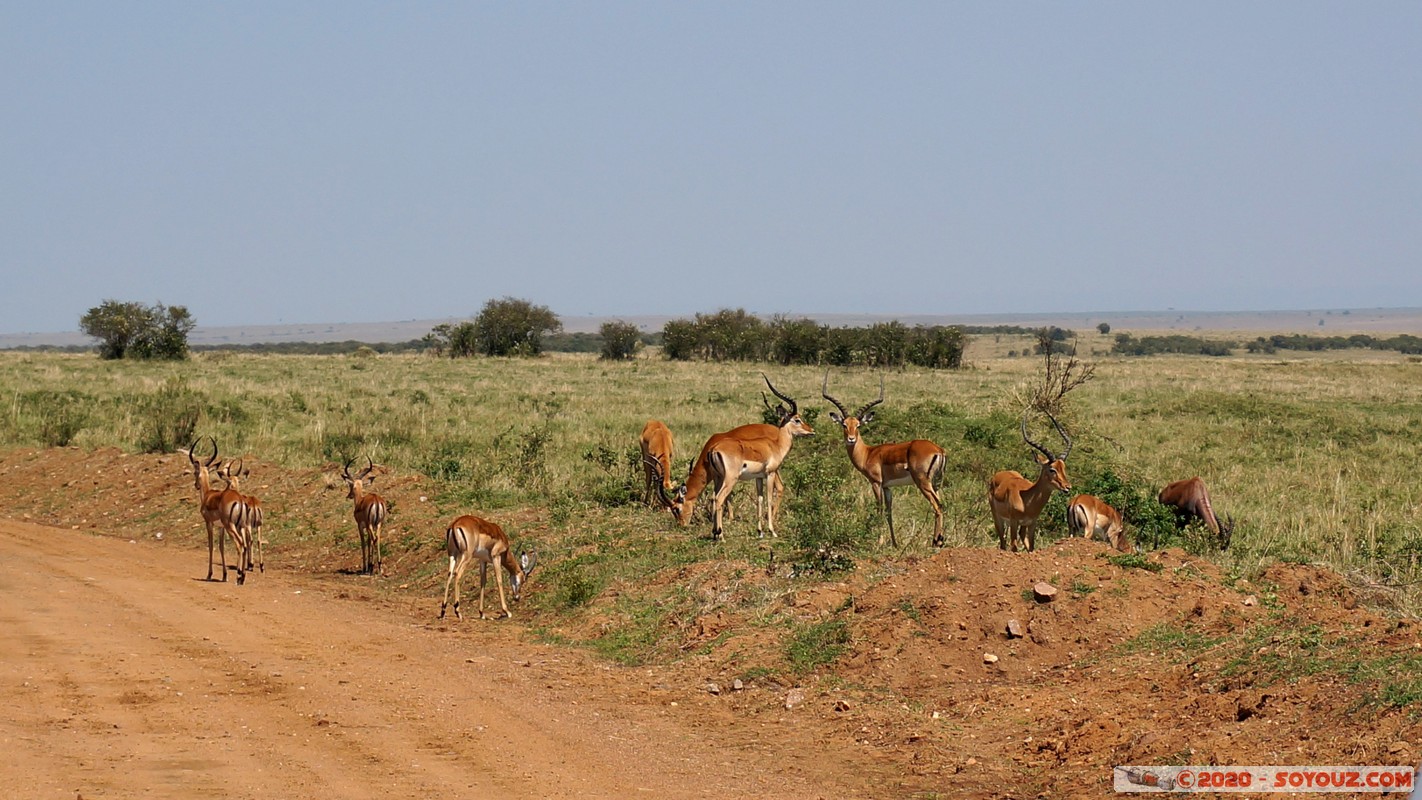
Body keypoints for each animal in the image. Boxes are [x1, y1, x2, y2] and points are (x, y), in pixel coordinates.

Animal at [186, 437, 250, 584]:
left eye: (195, 472)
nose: (196, 485)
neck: (208, 495)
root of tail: (239, 499)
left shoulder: (209, 523)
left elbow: (211, 546)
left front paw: (209, 574)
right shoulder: (220, 527)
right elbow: (221, 547)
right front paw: (224, 575)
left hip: (231, 526)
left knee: (239, 544)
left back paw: (239, 577)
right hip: (240, 526)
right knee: (244, 544)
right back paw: (242, 577)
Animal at [653, 374, 813, 540]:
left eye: (676, 509)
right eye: (797, 419)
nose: (811, 430)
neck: (775, 444)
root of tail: (714, 449)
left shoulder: (758, 477)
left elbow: (760, 499)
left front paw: (760, 531)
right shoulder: (769, 474)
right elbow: (767, 499)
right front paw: (771, 531)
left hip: (724, 477)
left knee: (717, 498)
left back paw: (717, 533)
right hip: (732, 477)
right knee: (719, 498)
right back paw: (720, 535)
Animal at [822, 372, 946, 547]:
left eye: (858, 425)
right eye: (844, 425)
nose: (851, 439)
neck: (868, 453)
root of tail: (938, 450)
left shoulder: (876, 483)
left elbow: (879, 509)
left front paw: (878, 542)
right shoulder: (887, 487)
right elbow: (889, 512)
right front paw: (894, 543)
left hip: (923, 482)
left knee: (938, 506)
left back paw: (936, 542)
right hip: (936, 483)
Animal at [987, 409, 1073, 552]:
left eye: (1063, 468)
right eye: (1052, 469)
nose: (1067, 487)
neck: (1027, 500)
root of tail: (997, 475)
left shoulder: (1032, 523)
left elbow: (1032, 546)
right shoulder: (1014, 521)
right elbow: (1014, 547)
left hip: (1022, 525)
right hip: (998, 518)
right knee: (1003, 542)